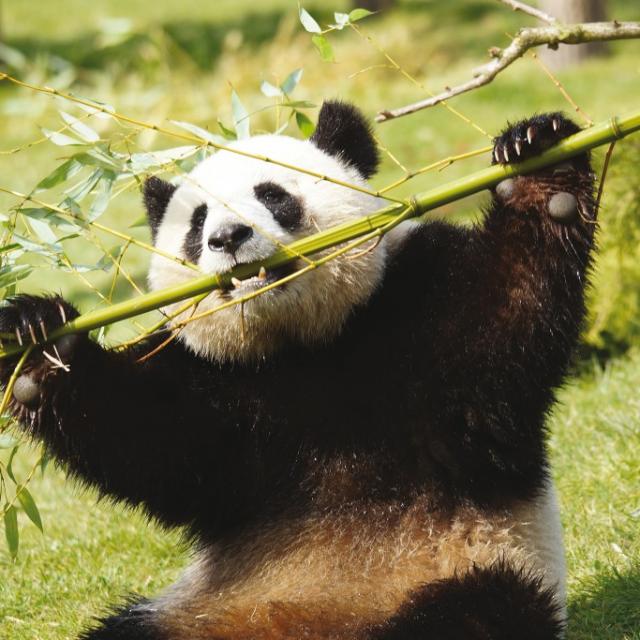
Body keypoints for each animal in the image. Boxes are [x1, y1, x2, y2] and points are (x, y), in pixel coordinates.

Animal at [0, 102, 596, 636]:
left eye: (272, 195)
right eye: (197, 222)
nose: (228, 238)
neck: (304, 344)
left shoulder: (413, 307)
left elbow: (499, 326)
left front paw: (539, 164)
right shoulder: (219, 385)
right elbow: (145, 435)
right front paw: (35, 345)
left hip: (467, 569)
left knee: (471, 614)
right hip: (192, 612)